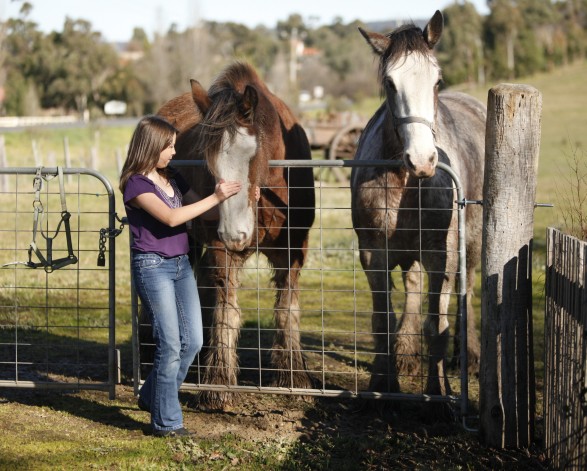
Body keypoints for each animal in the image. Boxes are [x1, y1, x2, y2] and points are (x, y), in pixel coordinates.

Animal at [158, 61, 316, 410]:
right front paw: (218, 383)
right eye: (206, 157)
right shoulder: (222, 250)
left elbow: (287, 310)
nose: (236, 233)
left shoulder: (293, 250)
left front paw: (293, 378)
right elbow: (226, 310)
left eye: (252, 154)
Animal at [352, 10, 484, 402]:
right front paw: (383, 384)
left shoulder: (443, 257)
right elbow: (383, 320)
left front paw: (437, 391)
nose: (423, 160)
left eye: (437, 80)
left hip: (471, 244)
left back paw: (469, 355)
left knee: (469, 289)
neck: (405, 183)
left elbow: (436, 325)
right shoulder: (374, 254)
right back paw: (407, 355)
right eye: (390, 83)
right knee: (412, 285)